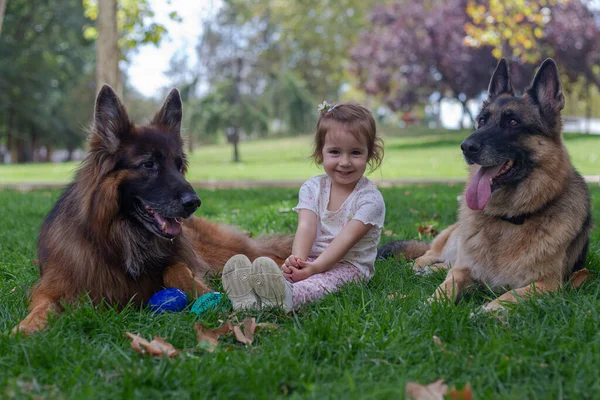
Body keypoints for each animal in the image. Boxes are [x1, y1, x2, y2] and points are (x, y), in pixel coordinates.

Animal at [14, 85, 292, 334]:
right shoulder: (56, 282)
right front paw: (26, 326)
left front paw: (204, 294)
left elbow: (176, 270)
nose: (194, 202)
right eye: (149, 164)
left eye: (179, 165)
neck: (121, 238)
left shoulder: (181, 260)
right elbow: (44, 304)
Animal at [378, 57, 592, 310]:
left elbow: (511, 296)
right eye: (481, 121)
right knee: (426, 259)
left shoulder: (549, 284)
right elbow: (446, 287)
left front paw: (487, 311)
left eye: (513, 122)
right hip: (446, 247)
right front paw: (429, 305)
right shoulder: (463, 270)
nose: (466, 147)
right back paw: (419, 270)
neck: (509, 218)